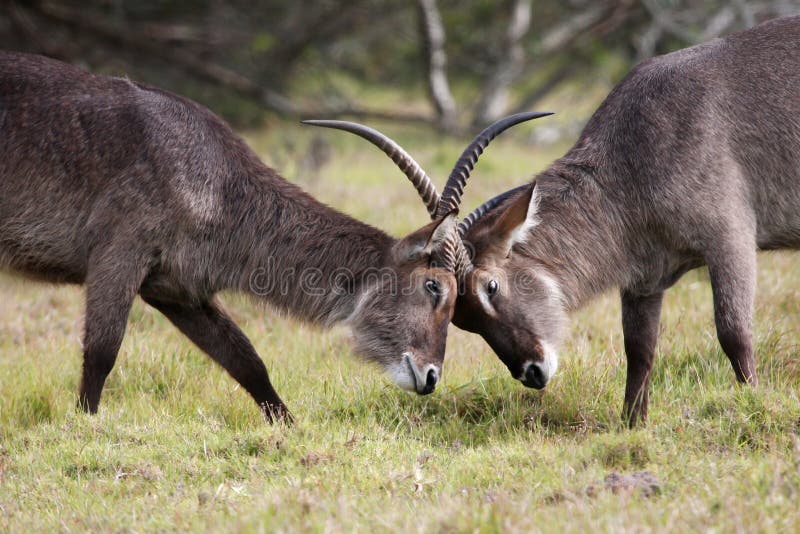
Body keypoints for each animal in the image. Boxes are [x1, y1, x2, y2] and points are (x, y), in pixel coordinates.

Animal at [0, 52, 476, 426]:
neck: (218, 185)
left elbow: (246, 360)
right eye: (433, 286)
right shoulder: (119, 257)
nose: (432, 377)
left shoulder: (176, 290)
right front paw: (85, 429)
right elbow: (101, 352)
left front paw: (288, 428)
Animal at [310, 14, 800, 428]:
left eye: (491, 286)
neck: (633, 156)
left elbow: (734, 333)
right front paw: (632, 427)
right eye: (462, 320)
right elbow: (639, 350)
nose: (531, 372)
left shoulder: (730, 242)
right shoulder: (644, 279)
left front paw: (755, 407)